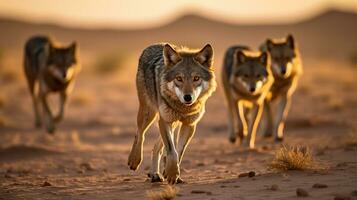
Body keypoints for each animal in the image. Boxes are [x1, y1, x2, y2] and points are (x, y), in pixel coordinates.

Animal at [128, 43, 217, 184]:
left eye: (196, 78)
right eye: (179, 78)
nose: (188, 97)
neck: (183, 108)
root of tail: (153, 45)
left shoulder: (189, 125)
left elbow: (178, 151)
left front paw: (171, 173)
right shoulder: (165, 120)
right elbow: (171, 150)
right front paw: (171, 173)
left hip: (172, 123)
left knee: (156, 146)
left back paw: (155, 174)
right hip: (149, 113)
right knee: (139, 134)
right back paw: (134, 160)